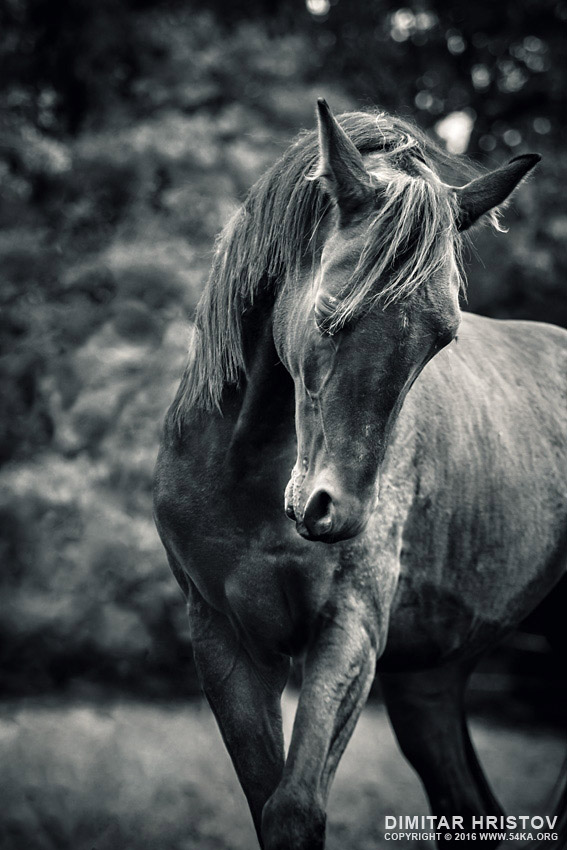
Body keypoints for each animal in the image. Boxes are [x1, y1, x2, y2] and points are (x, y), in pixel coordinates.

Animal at [153, 101, 564, 848]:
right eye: (327, 312)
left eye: (442, 337)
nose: (332, 512)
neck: (247, 473)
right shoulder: (225, 639)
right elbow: (269, 802)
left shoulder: (349, 632)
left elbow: (293, 809)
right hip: (427, 684)